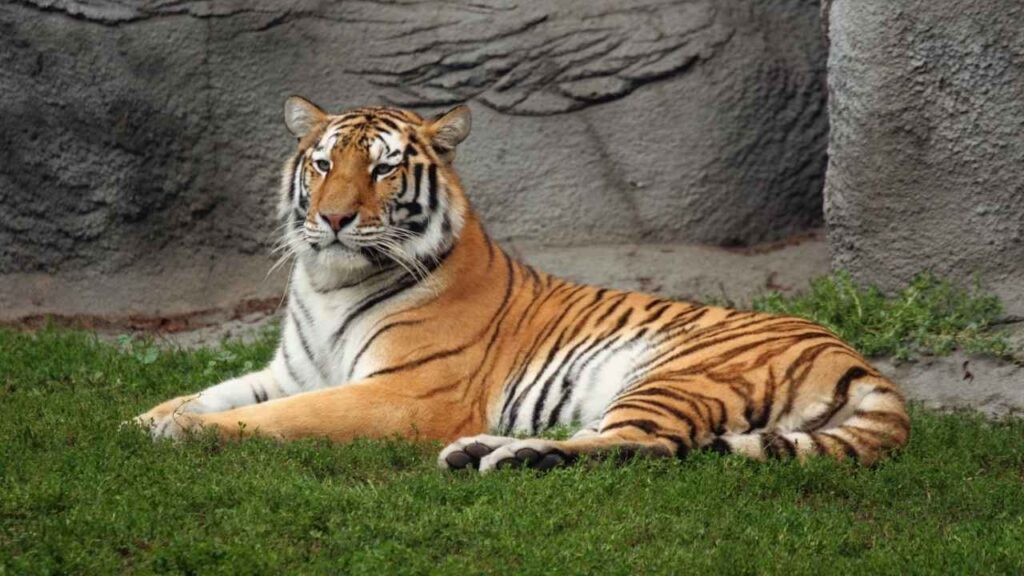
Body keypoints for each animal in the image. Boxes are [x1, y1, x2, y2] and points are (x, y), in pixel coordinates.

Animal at [133, 97, 910, 472]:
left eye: (383, 168)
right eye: (323, 164)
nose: (332, 218)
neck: (327, 283)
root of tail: (863, 364)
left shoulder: (402, 393)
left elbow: (283, 419)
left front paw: (187, 434)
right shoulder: (292, 371)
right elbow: (207, 392)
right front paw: (141, 423)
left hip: (680, 376)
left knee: (646, 447)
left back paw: (508, 456)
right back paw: (484, 450)